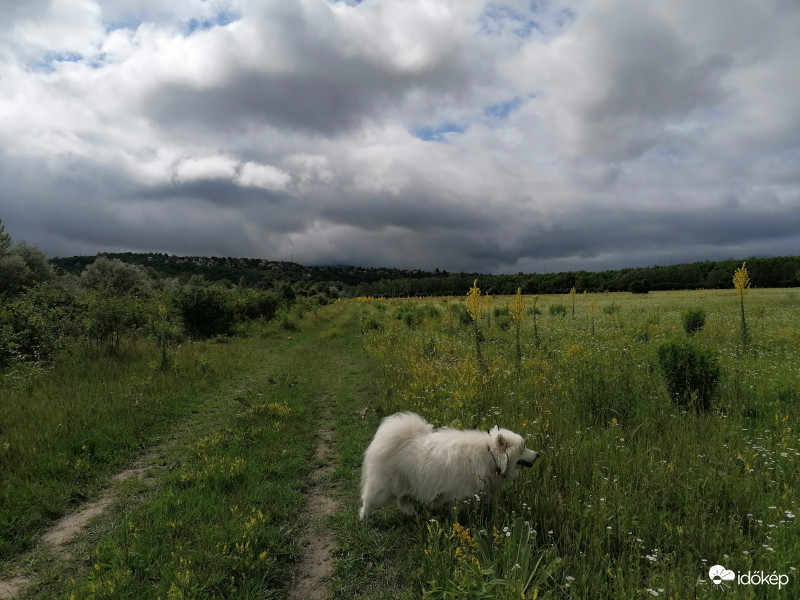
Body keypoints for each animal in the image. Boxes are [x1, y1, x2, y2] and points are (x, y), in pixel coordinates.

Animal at [360, 412, 540, 520]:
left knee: (402, 499)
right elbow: (456, 513)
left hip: (408, 483)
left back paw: (411, 513)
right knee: (368, 500)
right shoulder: (459, 496)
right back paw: (364, 518)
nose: (538, 454)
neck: (490, 454)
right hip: (384, 486)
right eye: (523, 447)